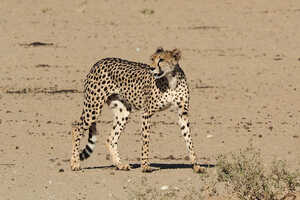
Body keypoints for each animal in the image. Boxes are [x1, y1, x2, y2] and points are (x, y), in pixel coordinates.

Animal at [71, 47, 204, 173]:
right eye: (152, 58)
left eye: (161, 60)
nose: (151, 68)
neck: (171, 79)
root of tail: (100, 61)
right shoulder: (146, 112)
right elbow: (145, 141)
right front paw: (145, 166)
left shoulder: (183, 113)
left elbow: (189, 139)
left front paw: (196, 166)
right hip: (93, 106)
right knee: (76, 129)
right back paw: (74, 163)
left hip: (122, 111)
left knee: (111, 139)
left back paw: (120, 165)